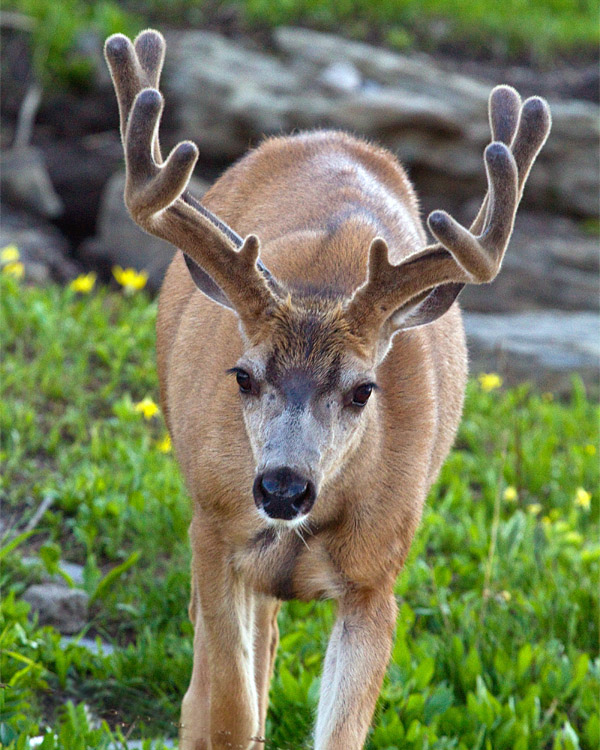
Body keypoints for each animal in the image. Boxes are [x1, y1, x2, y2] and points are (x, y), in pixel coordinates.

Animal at [104, 29, 552, 750]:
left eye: (363, 389)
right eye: (243, 375)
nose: (283, 487)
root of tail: (325, 134)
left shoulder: (379, 577)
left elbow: (338, 731)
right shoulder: (212, 525)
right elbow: (228, 711)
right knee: (225, 677)